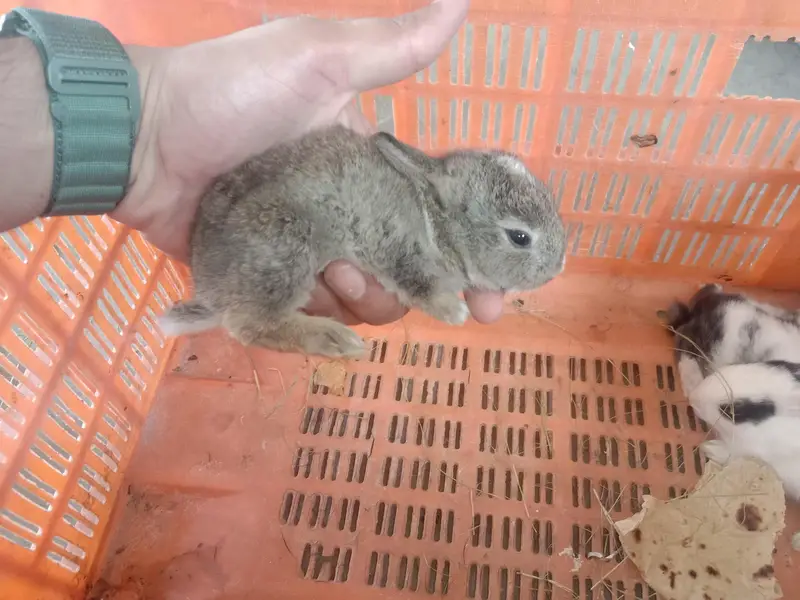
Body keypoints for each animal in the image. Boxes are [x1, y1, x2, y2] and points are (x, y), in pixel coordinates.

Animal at [158, 124, 567, 358]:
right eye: (519, 237)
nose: (559, 266)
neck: (437, 221)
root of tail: (210, 291)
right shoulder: (391, 243)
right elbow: (414, 280)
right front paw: (454, 311)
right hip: (284, 248)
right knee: (249, 326)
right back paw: (338, 341)